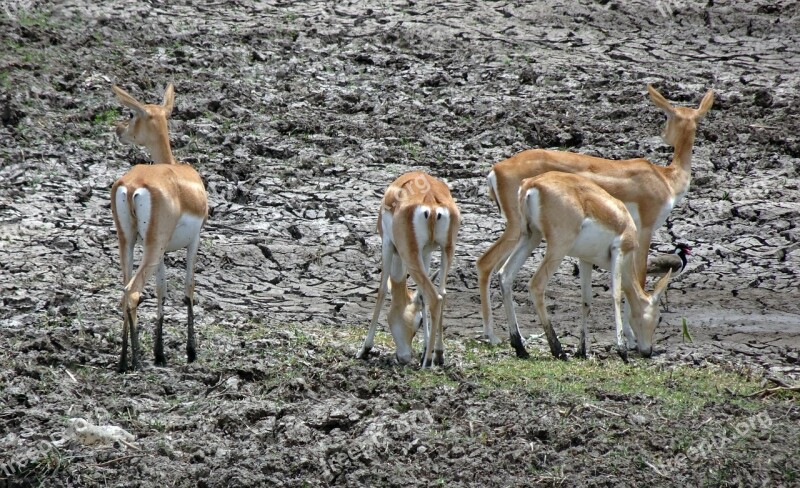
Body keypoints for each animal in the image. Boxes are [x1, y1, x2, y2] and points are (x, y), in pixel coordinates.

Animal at [110, 85, 208, 374]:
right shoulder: (194, 240)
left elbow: (162, 290)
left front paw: (160, 353)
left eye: (132, 114)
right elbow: (189, 287)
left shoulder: (162, 249)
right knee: (133, 292)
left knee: (125, 290)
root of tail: (133, 185)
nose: (119, 129)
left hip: (129, 241)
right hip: (152, 246)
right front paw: (190, 351)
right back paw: (136, 361)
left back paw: (123, 362)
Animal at [354, 172, 460, 366]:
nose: (404, 357)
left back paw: (427, 363)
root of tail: (431, 202)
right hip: (447, 249)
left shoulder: (387, 243)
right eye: (419, 321)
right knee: (442, 293)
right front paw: (426, 348)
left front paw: (365, 349)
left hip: (409, 253)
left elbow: (381, 290)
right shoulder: (425, 251)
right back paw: (438, 354)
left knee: (435, 298)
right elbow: (422, 297)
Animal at [496, 173, 672, 360]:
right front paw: (622, 350)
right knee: (536, 284)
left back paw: (520, 348)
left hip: (530, 236)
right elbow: (616, 295)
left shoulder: (585, 259)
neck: (623, 222)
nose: (648, 351)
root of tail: (531, 183)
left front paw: (581, 351)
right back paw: (558, 351)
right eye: (658, 318)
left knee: (505, 275)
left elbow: (586, 301)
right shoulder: (619, 252)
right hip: (558, 246)